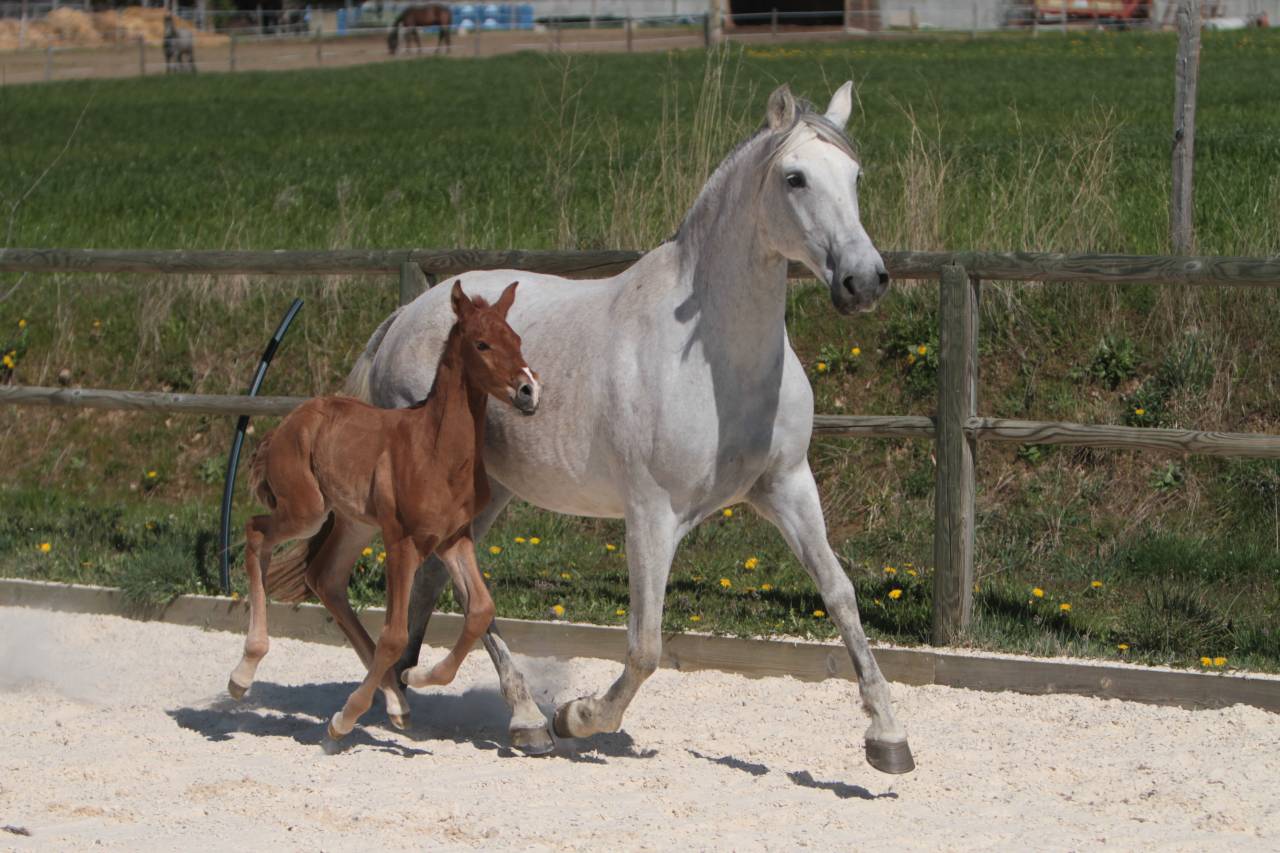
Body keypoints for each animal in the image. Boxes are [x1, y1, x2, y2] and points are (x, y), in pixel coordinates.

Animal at [229, 281, 540, 743]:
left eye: (517, 340)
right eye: (482, 344)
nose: (529, 391)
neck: (436, 450)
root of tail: (292, 419)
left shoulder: (453, 538)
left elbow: (480, 610)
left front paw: (418, 677)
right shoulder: (402, 541)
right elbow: (395, 635)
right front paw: (344, 718)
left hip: (354, 523)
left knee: (326, 578)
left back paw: (396, 701)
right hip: (307, 511)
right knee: (255, 533)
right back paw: (244, 672)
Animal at [267, 82, 915, 774]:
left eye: (855, 175)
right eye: (795, 178)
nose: (864, 280)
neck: (715, 361)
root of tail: (404, 317)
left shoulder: (788, 487)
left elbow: (841, 595)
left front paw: (888, 738)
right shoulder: (652, 513)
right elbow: (646, 645)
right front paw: (577, 717)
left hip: (485, 495)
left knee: (430, 584)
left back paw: (409, 693)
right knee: (434, 589)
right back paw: (513, 716)